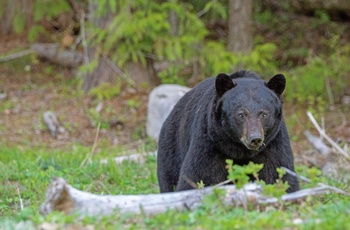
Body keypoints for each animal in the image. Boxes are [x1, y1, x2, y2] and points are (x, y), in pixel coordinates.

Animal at [157, 70, 300, 192]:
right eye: (241, 114)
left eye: (263, 114)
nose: (255, 139)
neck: (240, 150)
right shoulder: (209, 143)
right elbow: (197, 176)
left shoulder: (272, 145)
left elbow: (279, 174)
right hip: (172, 148)